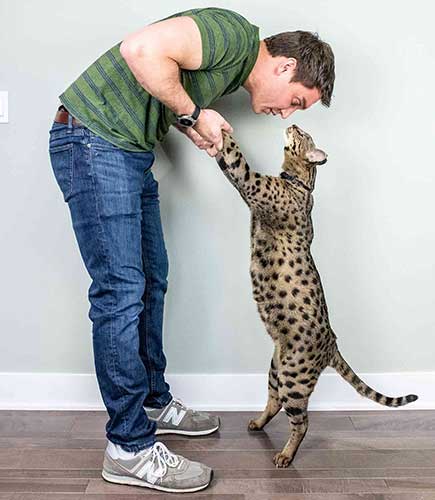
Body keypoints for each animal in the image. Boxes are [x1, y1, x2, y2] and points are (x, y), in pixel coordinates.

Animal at [215, 125, 418, 468]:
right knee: (275, 403)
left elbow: (236, 158)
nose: (292, 124)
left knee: (302, 422)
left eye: (302, 133)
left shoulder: (253, 185)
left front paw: (219, 129)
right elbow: (226, 163)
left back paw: (285, 455)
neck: (299, 183)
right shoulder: (250, 194)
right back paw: (258, 422)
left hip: (294, 380)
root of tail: (332, 344)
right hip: (276, 369)